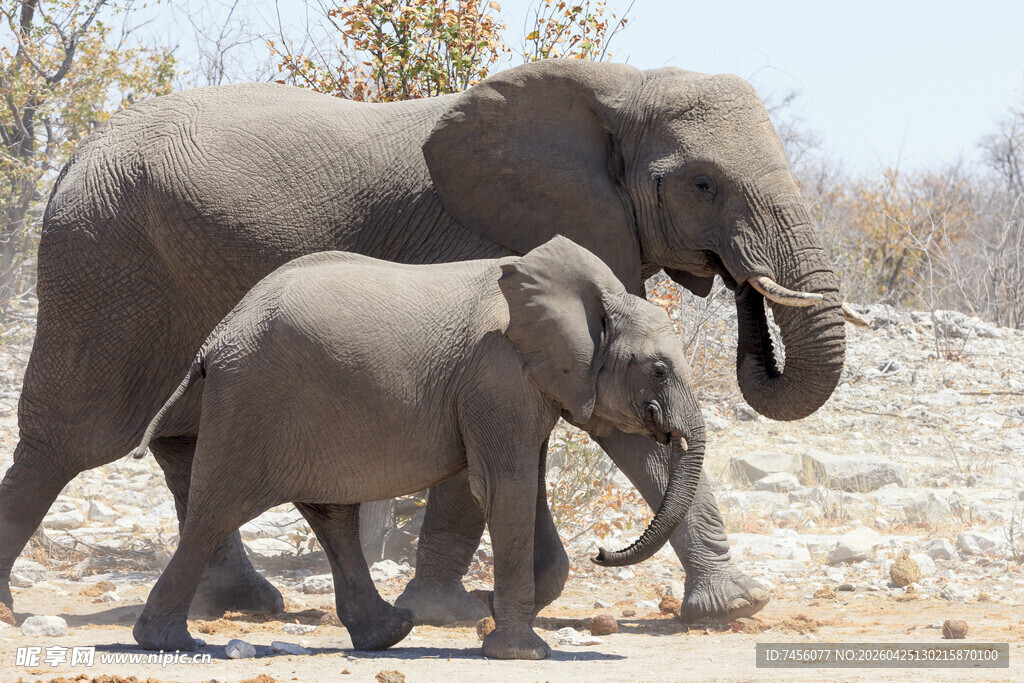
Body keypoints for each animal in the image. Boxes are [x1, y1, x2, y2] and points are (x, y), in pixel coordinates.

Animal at [128, 237, 706, 660]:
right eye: (659, 369)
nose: (602, 553)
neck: (594, 297)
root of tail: (218, 333)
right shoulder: (497, 375)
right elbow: (505, 487)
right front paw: (522, 653)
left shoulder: (525, 385)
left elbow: (524, 486)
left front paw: (496, 614)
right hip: (250, 399)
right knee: (217, 510)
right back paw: (168, 642)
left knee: (330, 514)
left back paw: (388, 634)